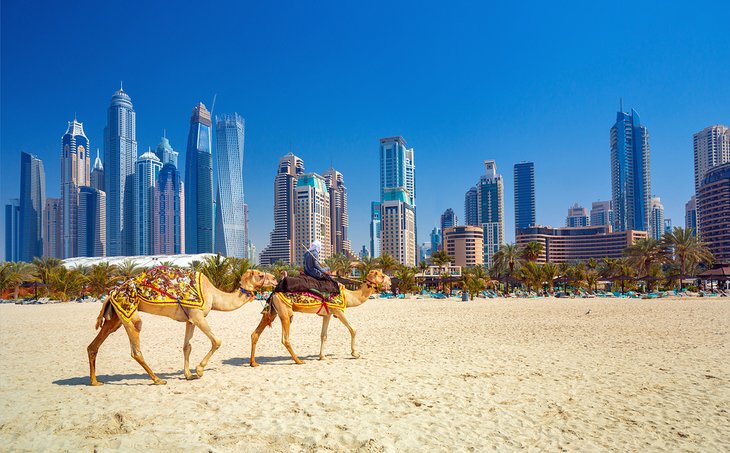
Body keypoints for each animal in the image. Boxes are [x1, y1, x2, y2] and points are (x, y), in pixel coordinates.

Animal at [88, 268, 276, 384]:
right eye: (260, 275)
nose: (274, 279)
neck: (213, 294)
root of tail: (112, 293)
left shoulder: (189, 319)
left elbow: (187, 346)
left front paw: (188, 375)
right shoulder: (198, 315)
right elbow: (217, 341)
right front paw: (199, 370)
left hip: (116, 317)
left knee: (94, 345)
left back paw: (95, 382)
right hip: (129, 314)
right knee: (136, 348)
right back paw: (157, 380)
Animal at [247, 270, 390, 366]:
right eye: (382, 276)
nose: (390, 280)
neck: (349, 296)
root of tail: (274, 292)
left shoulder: (327, 314)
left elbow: (323, 335)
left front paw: (322, 357)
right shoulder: (338, 310)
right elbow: (353, 329)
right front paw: (355, 353)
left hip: (272, 313)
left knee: (255, 333)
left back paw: (253, 363)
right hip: (285, 313)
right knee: (285, 339)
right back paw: (299, 361)